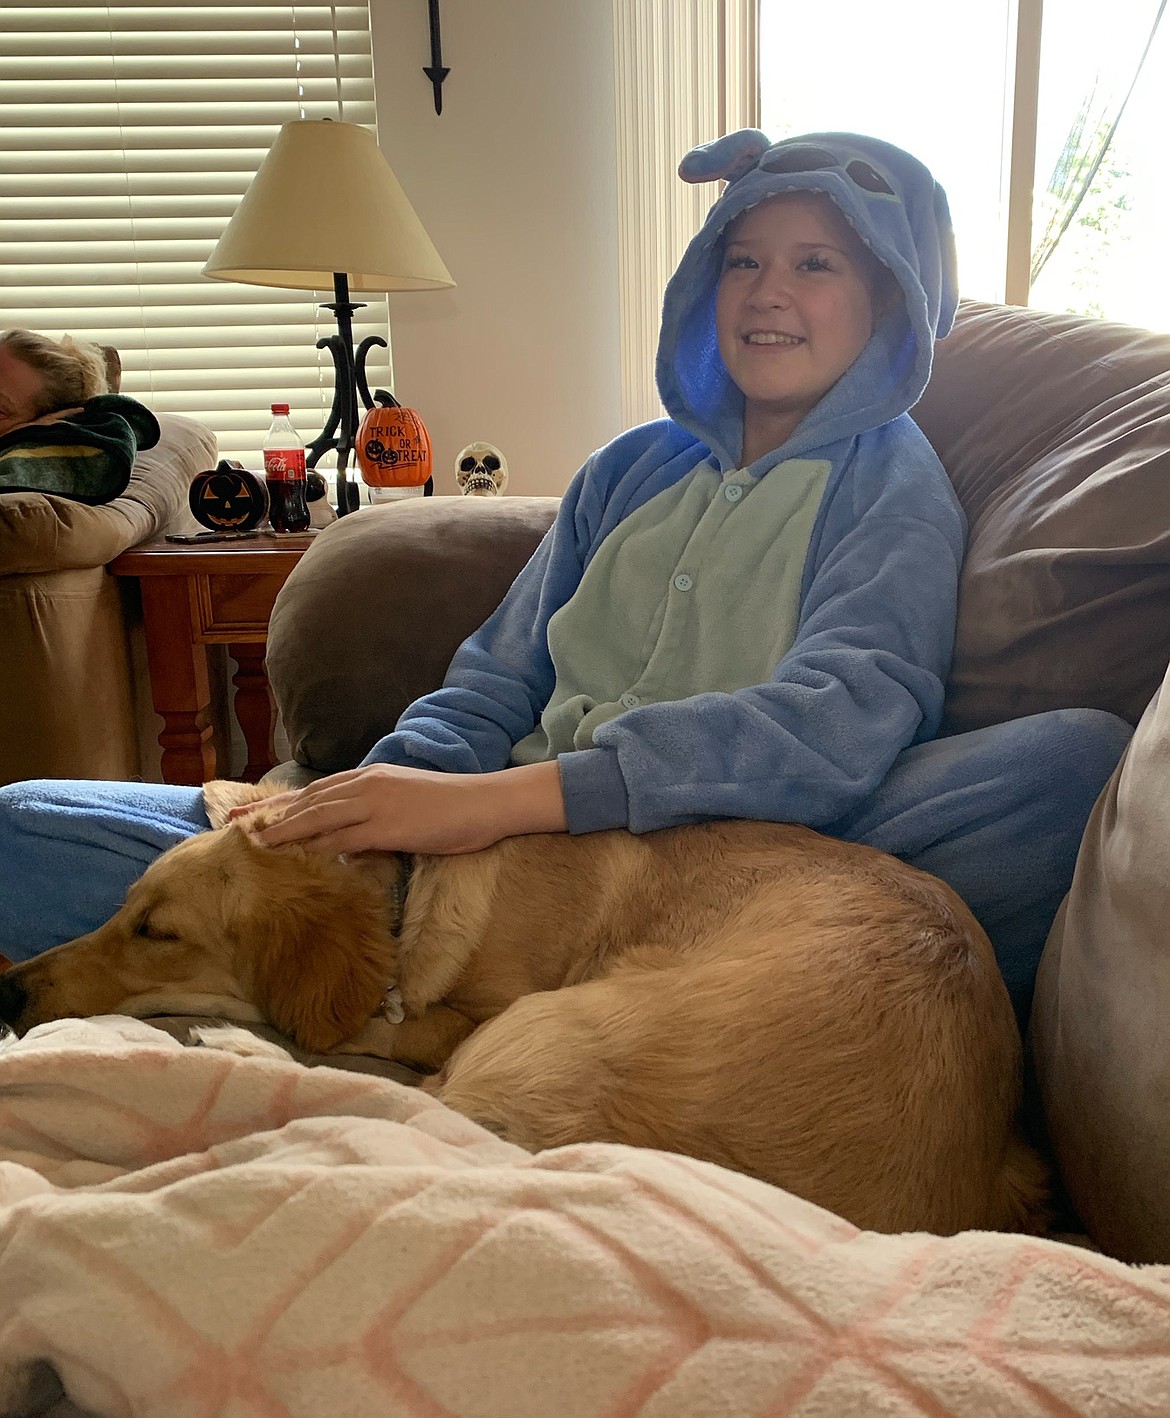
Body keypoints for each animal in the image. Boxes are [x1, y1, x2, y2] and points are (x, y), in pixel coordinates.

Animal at [0, 782, 1043, 1236]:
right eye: (125, 911)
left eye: (157, 930)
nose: (9, 987)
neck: (402, 897)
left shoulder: (469, 1016)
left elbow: (376, 1035)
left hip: (538, 1027)